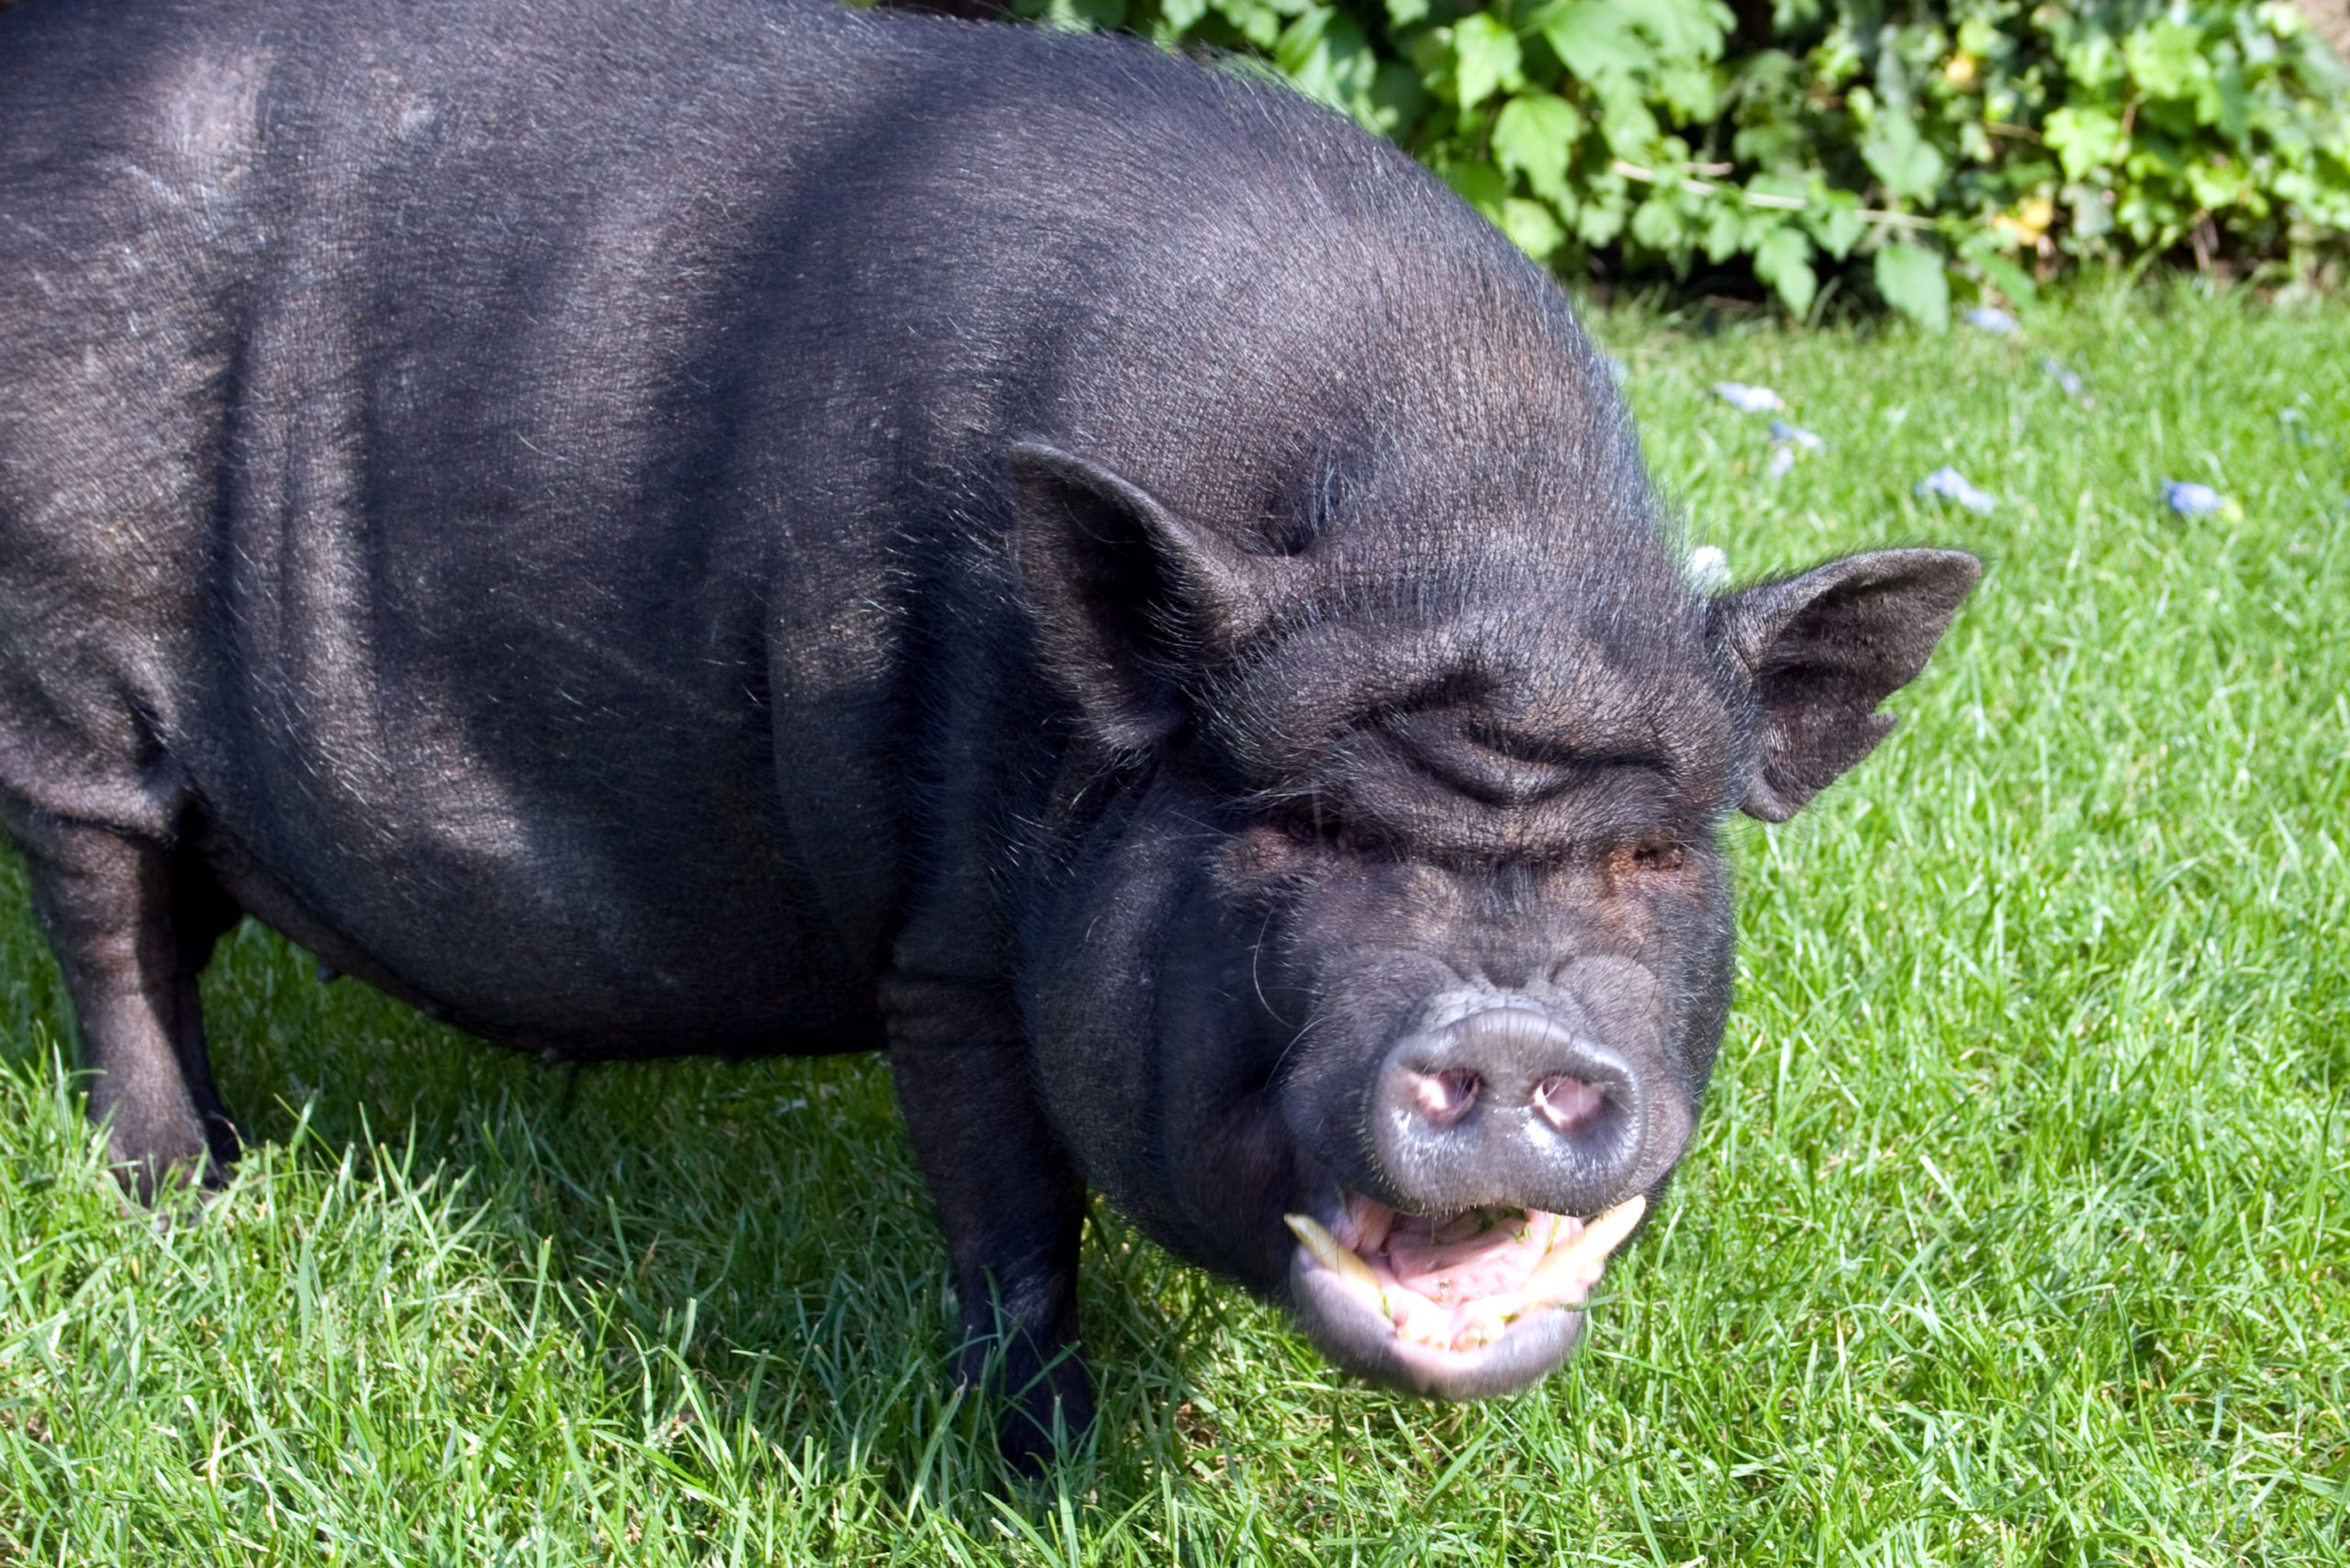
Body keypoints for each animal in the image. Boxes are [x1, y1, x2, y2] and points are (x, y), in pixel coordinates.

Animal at [0, 0, 1978, 1463]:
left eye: (1652, 845)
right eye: (1298, 824)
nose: (1500, 1032)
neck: (1453, 535)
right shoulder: (943, 931)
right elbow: (1012, 1211)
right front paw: (1037, 1466)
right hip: (63, 669)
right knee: (108, 920)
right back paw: (180, 1191)